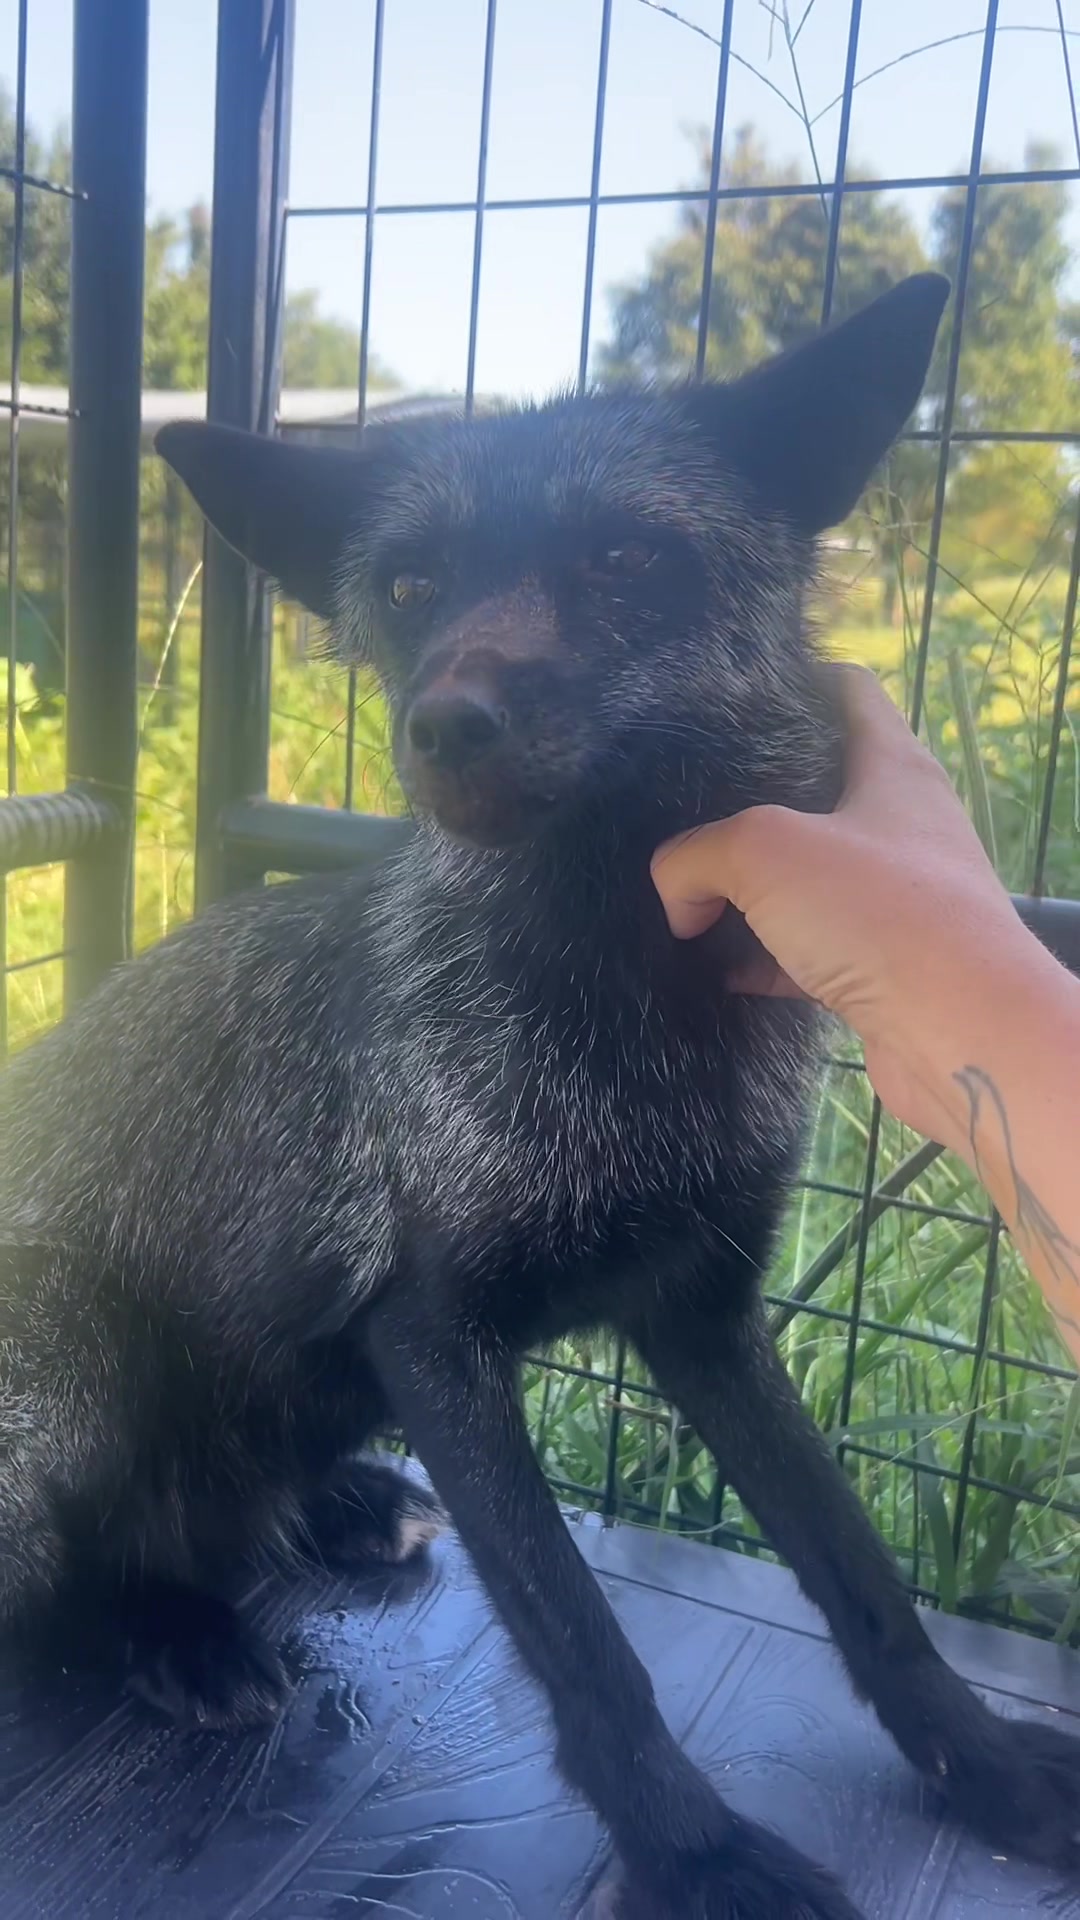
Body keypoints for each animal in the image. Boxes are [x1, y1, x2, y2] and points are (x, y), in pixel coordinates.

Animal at [1, 271, 1078, 1918]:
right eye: (406, 588)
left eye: (628, 556)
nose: (446, 724)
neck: (630, 1022)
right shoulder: (434, 1334)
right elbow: (589, 1646)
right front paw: (698, 1854)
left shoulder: (705, 1309)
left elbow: (863, 1575)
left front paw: (984, 1762)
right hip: (66, 1366)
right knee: (61, 1584)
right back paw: (170, 1634)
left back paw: (327, 1506)